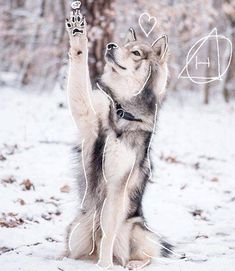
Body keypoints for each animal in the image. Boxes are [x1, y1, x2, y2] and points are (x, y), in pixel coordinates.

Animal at [64, 3, 171, 270]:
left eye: (136, 53)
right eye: (122, 45)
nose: (110, 46)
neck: (121, 111)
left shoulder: (117, 185)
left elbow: (108, 232)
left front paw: (104, 265)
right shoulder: (86, 117)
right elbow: (79, 70)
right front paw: (79, 36)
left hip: (138, 230)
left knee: (146, 255)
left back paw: (130, 263)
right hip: (76, 230)